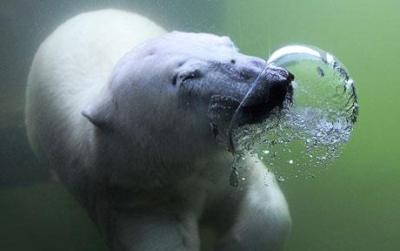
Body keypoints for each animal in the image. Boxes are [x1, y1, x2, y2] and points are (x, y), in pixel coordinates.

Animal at [26, 8, 292, 250]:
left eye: (230, 45)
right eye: (187, 76)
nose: (274, 80)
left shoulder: (226, 166)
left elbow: (269, 208)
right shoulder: (135, 196)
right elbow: (163, 240)